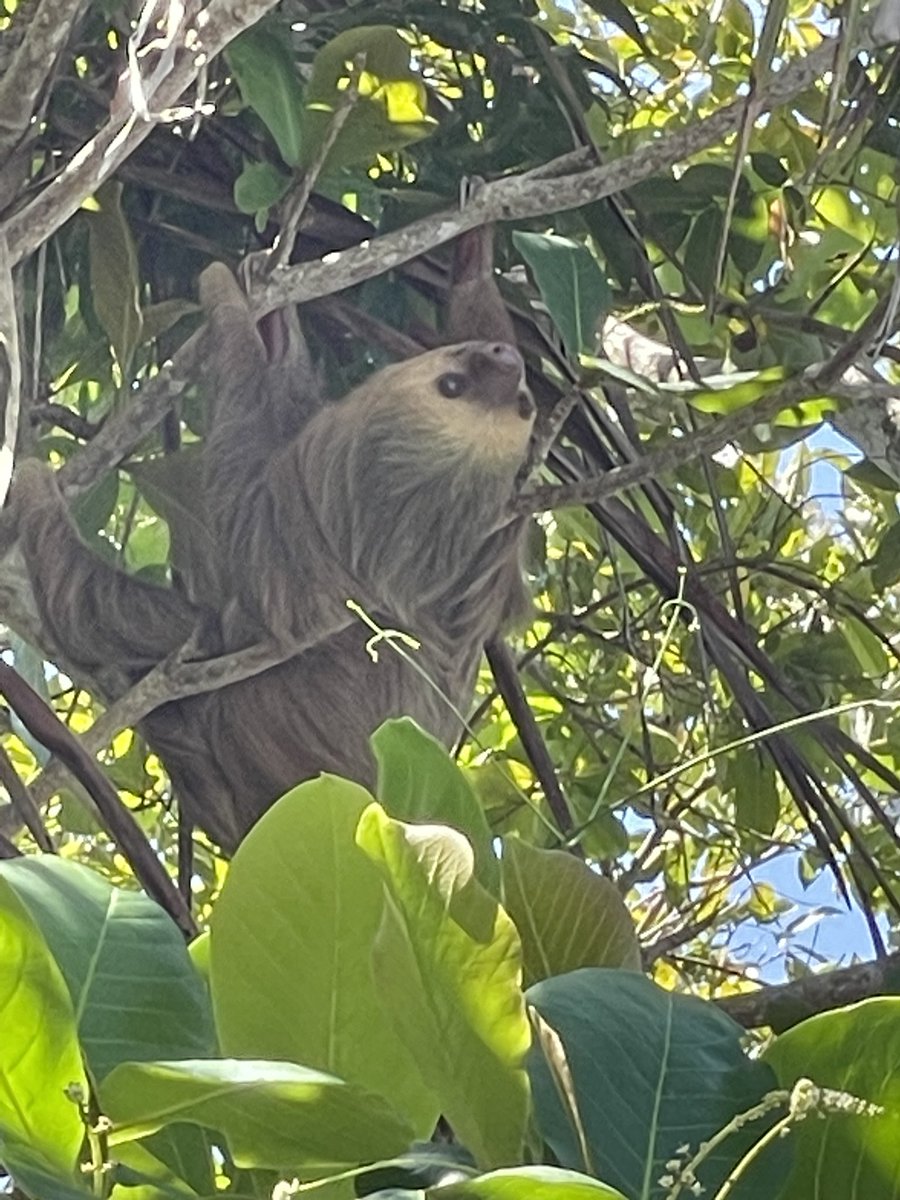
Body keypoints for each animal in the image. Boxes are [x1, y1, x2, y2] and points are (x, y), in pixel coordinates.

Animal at [12, 258, 536, 851]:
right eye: (458, 384)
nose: (507, 359)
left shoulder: (304, 535)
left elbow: (242, 500)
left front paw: (227, 303)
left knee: (122, 619)